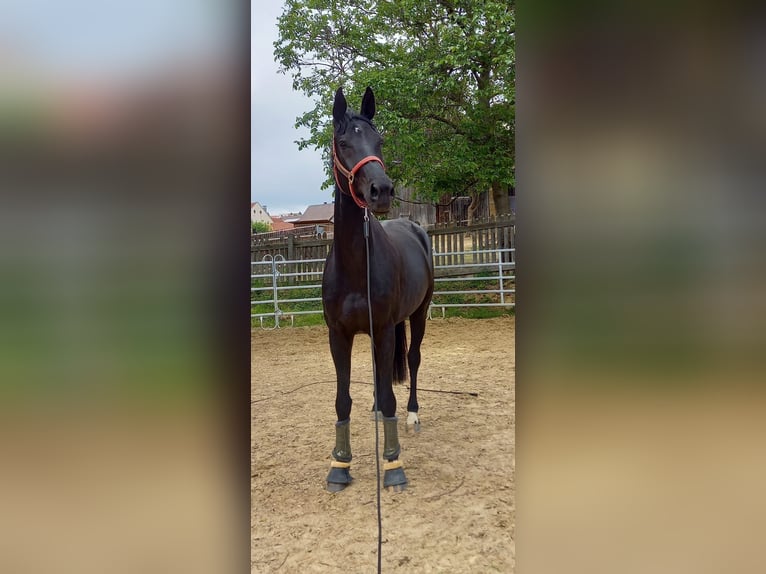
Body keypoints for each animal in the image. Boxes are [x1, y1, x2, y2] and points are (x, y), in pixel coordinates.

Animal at [322, 86, 435, 492]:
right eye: (343, 143)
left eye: (379, 140)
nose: (381, 190)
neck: (356, 266)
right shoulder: (338, 335)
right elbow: (342, 399)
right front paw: (340, 466)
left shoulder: (385, 329)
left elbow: (390, 397)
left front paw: (393, 465)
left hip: (419, 314)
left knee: (413, 360)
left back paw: (413, 415)